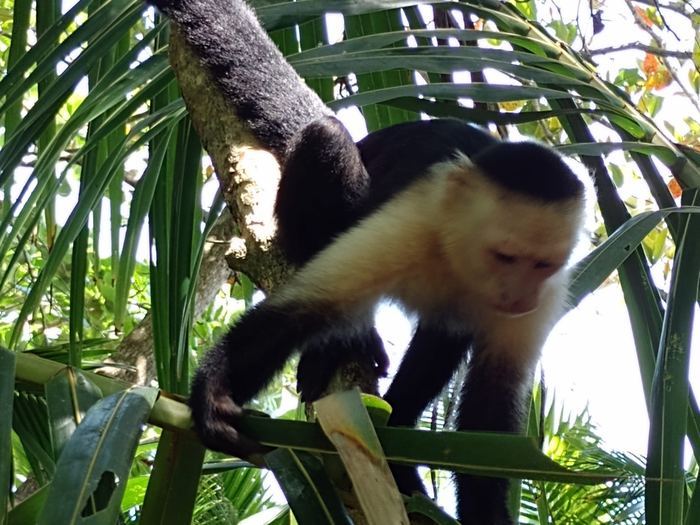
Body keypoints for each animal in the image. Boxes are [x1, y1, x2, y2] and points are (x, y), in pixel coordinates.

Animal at [148, 1, 588, 523]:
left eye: (543, 265)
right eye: (506, 255)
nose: (520, 297)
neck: (460, 257)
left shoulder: (547, 295)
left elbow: (487, 420)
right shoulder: (412, 221)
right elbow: (299, 308)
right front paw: (215, 394)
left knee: (445, 334)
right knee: (327, 140)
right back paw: (343, 343)